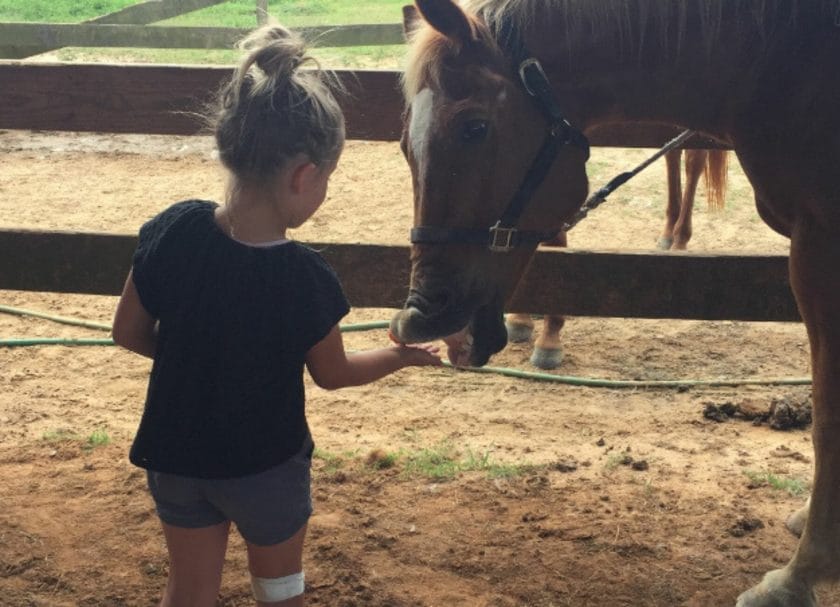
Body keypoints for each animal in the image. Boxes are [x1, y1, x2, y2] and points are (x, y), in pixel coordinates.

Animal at [392, 2, 840, 604]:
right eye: (404, 144)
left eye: (474, 128)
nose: (421, 317)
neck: (781, 62)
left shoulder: (820, 249)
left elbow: (828, 418)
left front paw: (799, 575)